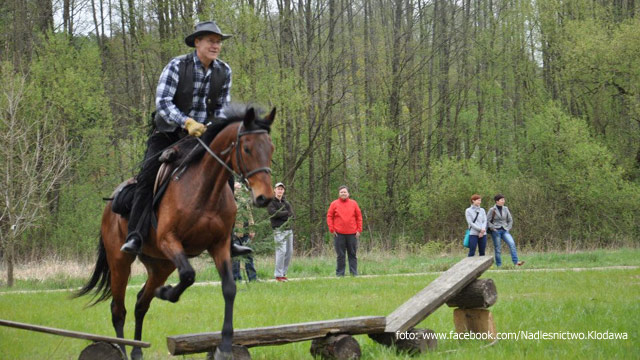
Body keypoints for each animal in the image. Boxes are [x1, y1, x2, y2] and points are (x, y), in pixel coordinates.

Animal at [75, 105, 276, 360]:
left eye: (271, 148)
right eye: (247, 148)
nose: (264, 197)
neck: (205, 188)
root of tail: (110, 203)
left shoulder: (219, 245)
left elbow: (229, 288)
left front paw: (225, 346)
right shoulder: (169, 240)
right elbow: (189, 275)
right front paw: (167, 293)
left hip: (162, 264)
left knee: (141, 303)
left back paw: (137, 350)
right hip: (120, 260)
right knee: (118, 310)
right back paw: (122, 348)